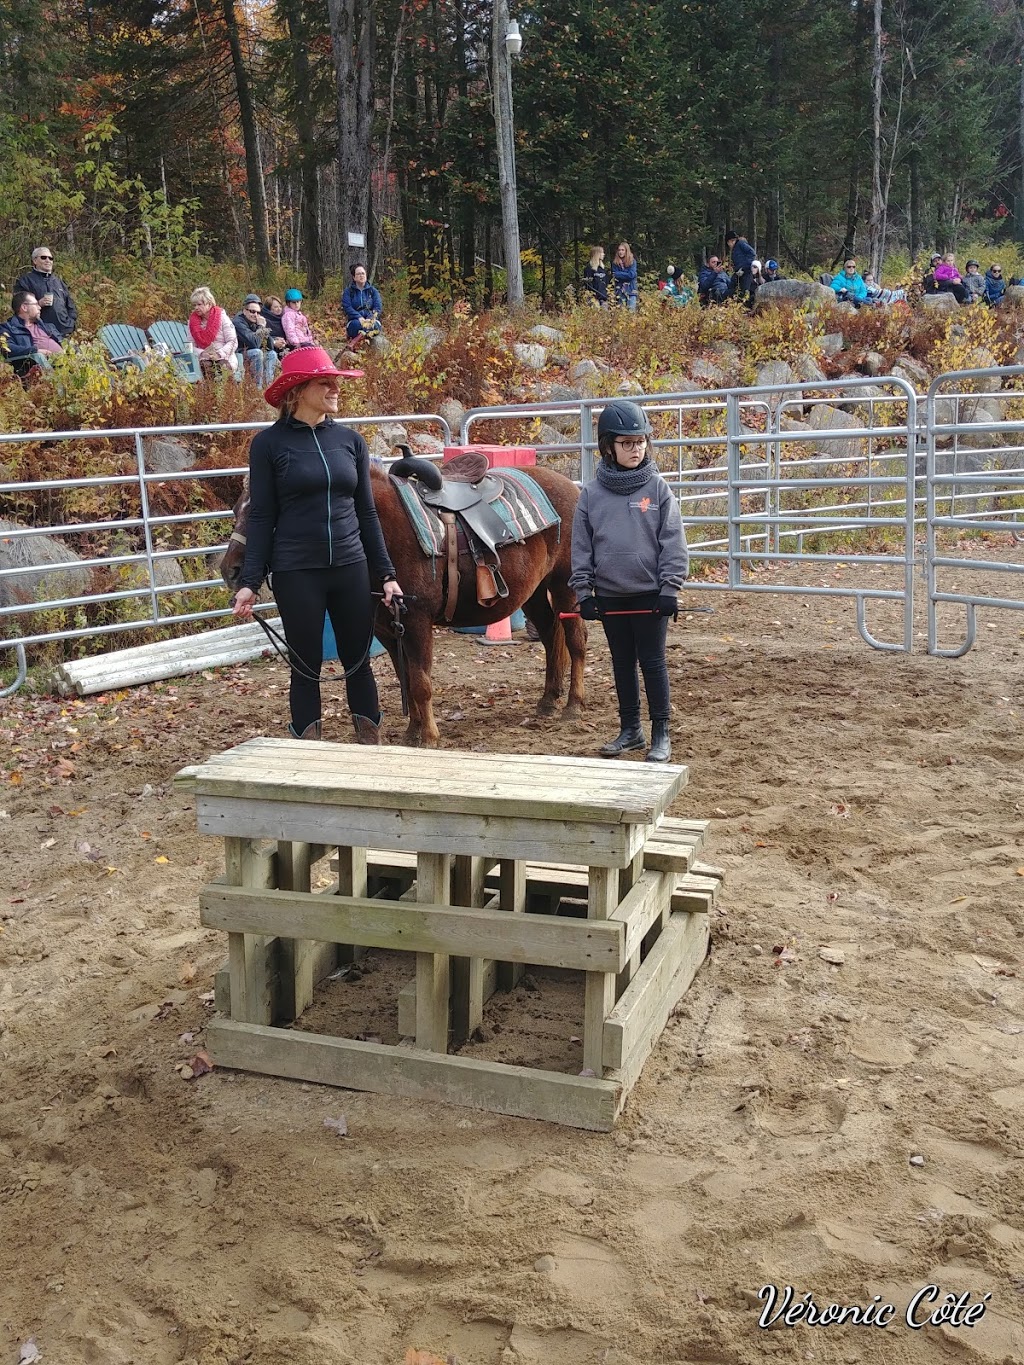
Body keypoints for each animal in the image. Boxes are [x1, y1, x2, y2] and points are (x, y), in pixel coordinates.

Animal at [218, 458, 584, 742]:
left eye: (272, 514)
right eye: (236, 509)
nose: (231, 570)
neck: (382, 534)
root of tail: (573, 488)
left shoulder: (417, 620)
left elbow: (420, 682)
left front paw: (430, 737)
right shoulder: (386, 627)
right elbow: (405, 677)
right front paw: (412, 733)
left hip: (565, 586)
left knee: (575, 640)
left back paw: (573, 706)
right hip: (533, 592)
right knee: (551, 636)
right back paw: (548, 701)